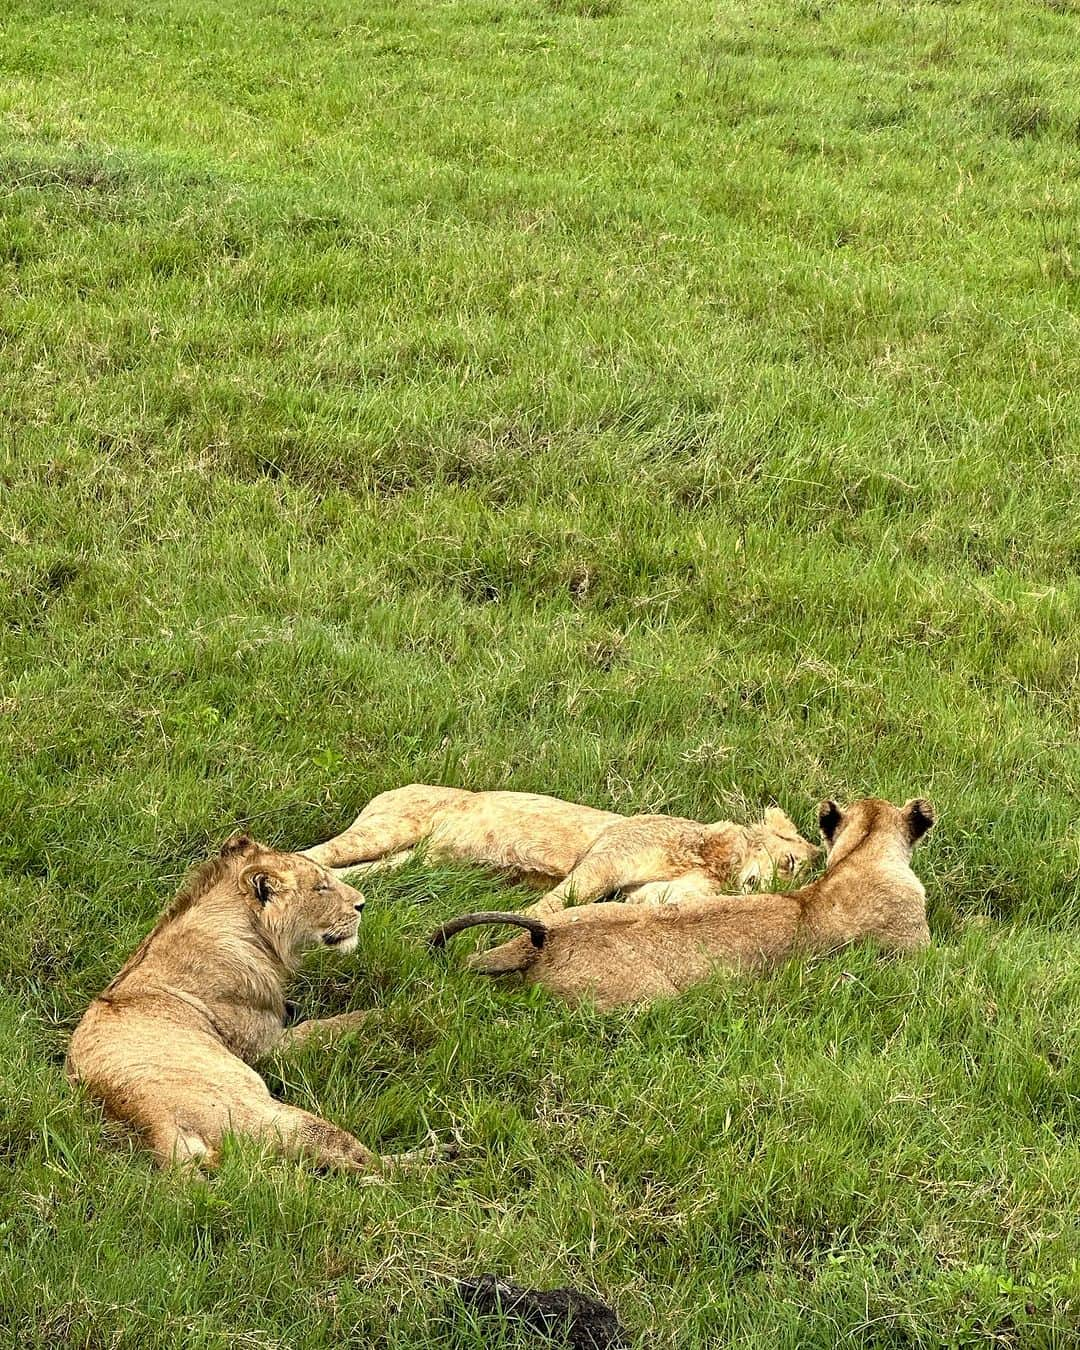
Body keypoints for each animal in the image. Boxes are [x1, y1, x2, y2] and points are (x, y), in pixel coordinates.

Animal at [67, 831, 437, 1171]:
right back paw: (437, 1157)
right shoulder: (267, 1048)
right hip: (268, 1113)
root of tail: (155, 1124)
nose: (362, 904)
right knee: (367, 1165)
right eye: (320, 888)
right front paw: (395, 1010)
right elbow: (329, 1026)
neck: (253, 935)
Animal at [299, 783, 815, 918]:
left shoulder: (647, 894)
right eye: (791, 862)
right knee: (316, 853)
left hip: (415, 858)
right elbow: (558, 900)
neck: (710, 863)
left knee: (369, 871)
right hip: (387, 827)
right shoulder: (605, 859)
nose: (771, 889)